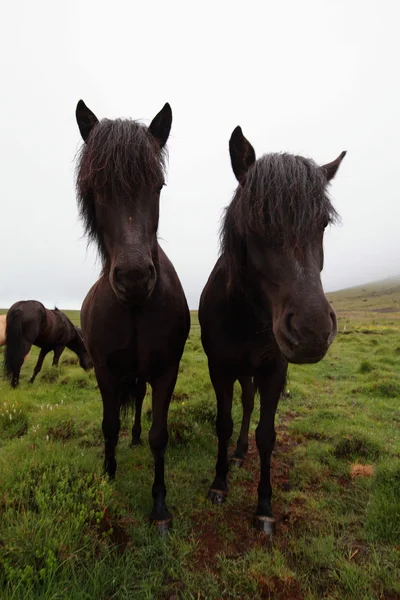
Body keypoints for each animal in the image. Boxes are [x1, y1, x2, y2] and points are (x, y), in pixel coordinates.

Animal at [75, 101, 191, 532]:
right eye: (96, 188)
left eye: (157, 186)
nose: (135, 277)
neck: (137, 309)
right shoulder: (106, 373)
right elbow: (109, 426)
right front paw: (108, 476)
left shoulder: (166, 372)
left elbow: (160, 434)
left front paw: (159, 505)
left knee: (140, 399)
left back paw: (137, 436)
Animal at [198, 126, 346, 536]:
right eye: (255, 223)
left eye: (322, 224)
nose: (312, 331)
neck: (248, 316)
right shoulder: (220, 369)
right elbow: (224, 424)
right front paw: (219, 483)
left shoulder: (274, 370)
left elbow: (266, 434)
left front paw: (264, 507)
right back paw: (236, 454)